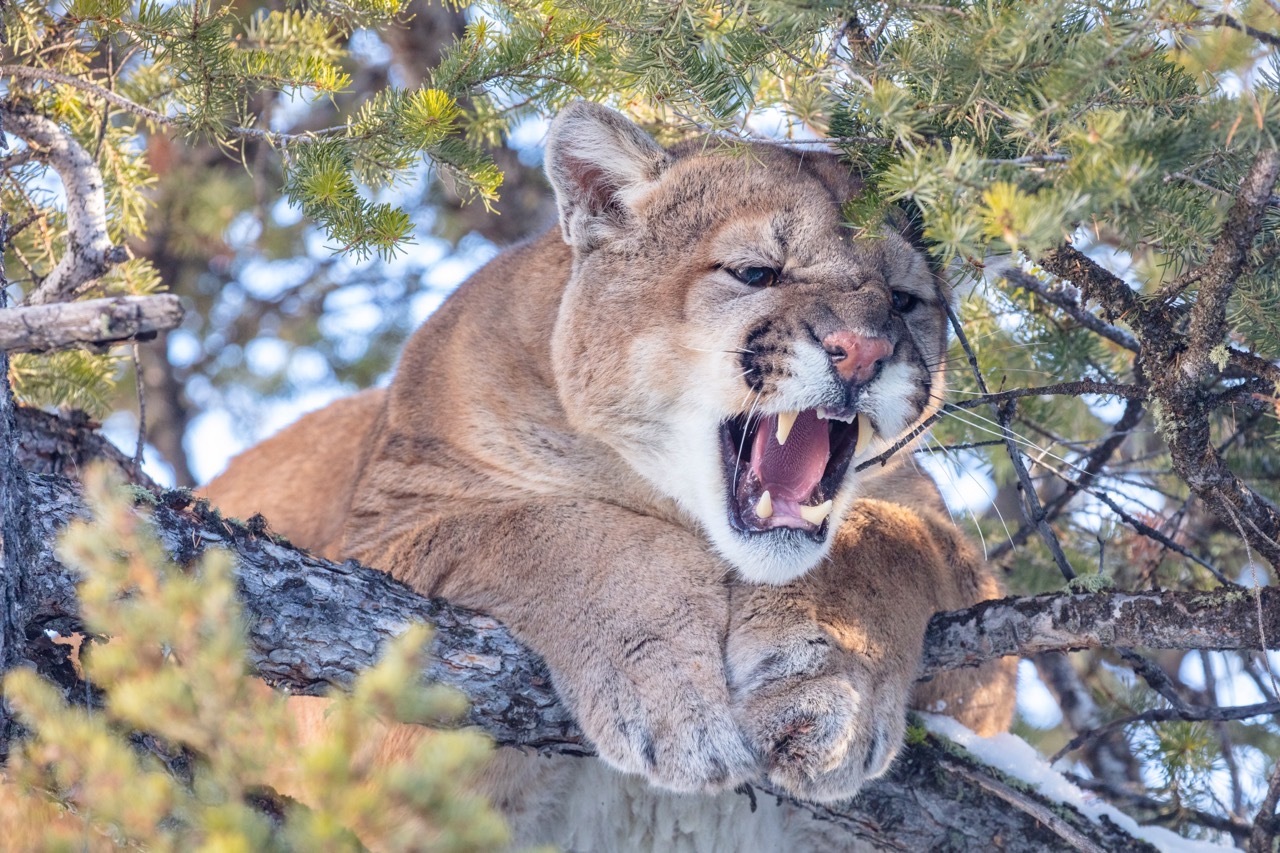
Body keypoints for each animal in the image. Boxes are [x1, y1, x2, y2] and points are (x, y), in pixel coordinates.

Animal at [204, 101, 1016, 850]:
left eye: (906, 300)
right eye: (756, 271)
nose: (864, 350)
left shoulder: (977, 642)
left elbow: (890, 543)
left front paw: (822, 690)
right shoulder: (381, 558)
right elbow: (547, 529)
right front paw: (666, 688)